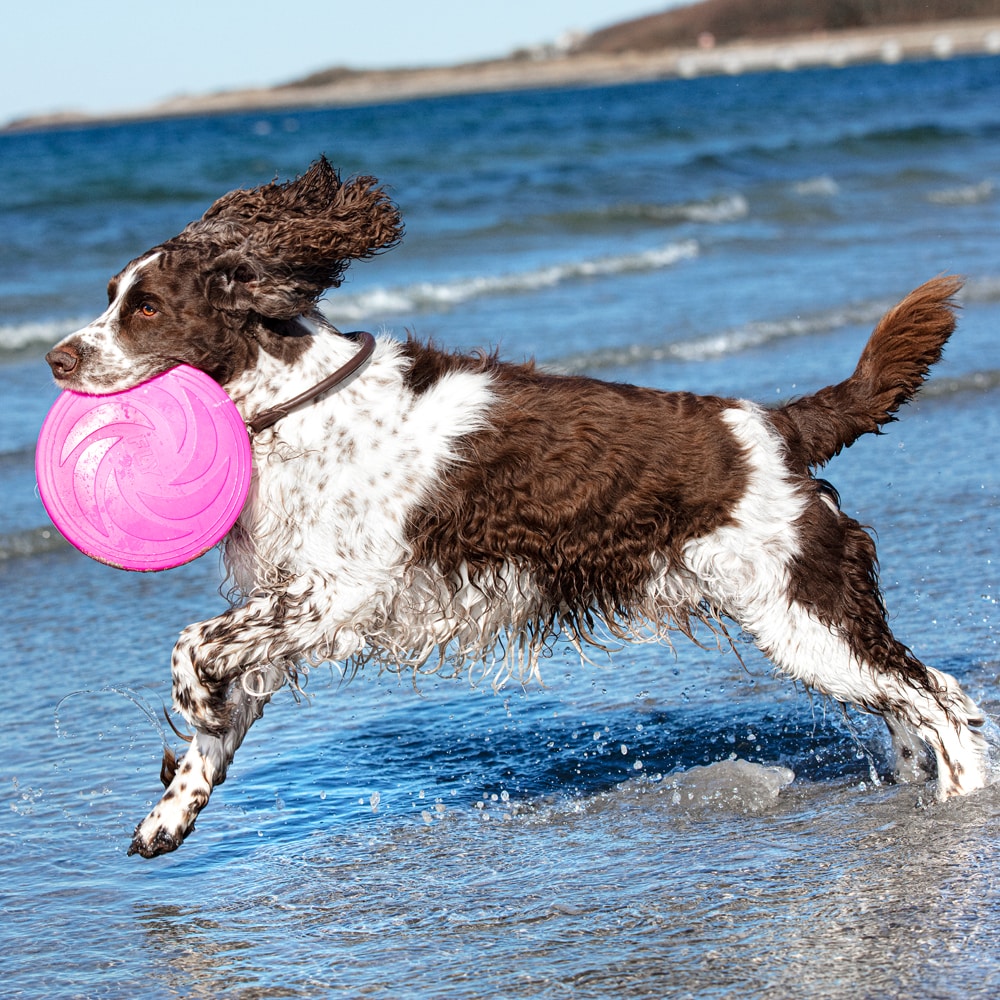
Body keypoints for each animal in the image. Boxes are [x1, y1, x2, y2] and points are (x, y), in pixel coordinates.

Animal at [45, 158, 984, 860]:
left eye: (145, 309)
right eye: (110, 294)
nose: (55, 358)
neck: (295, 404)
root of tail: (780, 424)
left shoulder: (335, 591)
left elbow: (194, 648)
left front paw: (196, 705)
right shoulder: (285, 603)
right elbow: (219, 715)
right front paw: (170, 813)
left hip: (801, 606)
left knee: (941, 700)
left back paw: (964, 806)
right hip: (806, 618)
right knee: (916, 700)